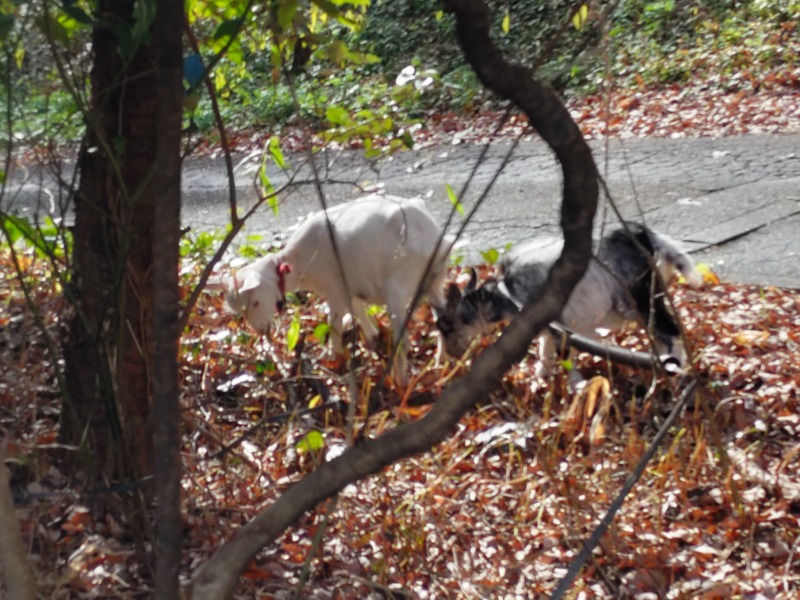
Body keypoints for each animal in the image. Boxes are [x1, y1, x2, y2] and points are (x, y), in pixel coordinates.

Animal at [209, 195, 454, 386]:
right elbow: (357, 309)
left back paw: (400, 381)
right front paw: (373, 338)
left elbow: (334, 322)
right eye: (239, 311)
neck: (295, 263)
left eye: (256, 302)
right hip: (433, 279)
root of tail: (432, 238)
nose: (261, 330)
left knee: (403, 340)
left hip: (399, 283)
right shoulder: (349, 285)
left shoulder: (334, 287)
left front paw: (332, 358)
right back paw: (441, 362)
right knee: (443, 317)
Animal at [434, 224, 704, 376]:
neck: (505, 293)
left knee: (669, 331)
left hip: (639, 300)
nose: (446, 359)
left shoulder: (559, 326)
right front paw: (540, 377)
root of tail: (647, 237)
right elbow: (545, 352)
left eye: (446, 327)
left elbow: (562, 356)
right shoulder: (548, 327)